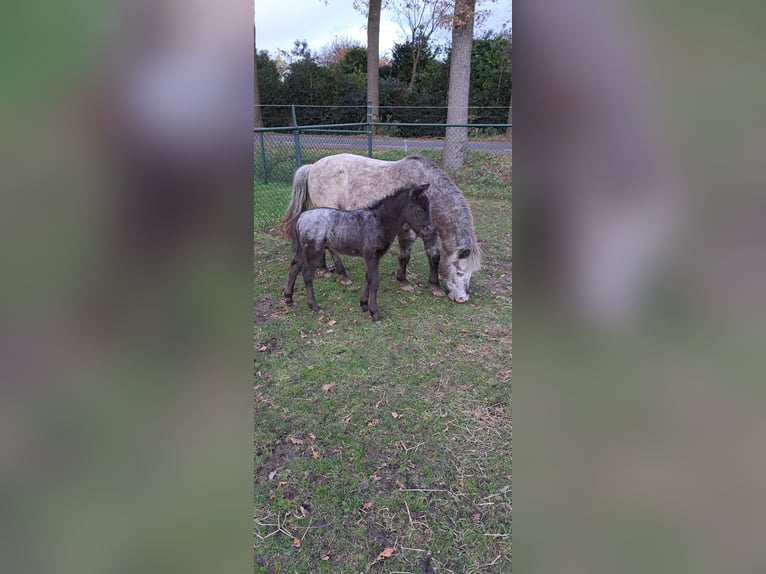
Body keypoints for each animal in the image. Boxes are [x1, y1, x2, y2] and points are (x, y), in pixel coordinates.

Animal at [280, 155, 484, 304]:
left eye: (471, 273)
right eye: (459, 271)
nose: (462, 298)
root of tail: (313, 166)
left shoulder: (430, 231)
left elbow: (434, 256)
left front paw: (434, 286)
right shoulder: (407, 230)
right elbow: (405, 256)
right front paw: (404, 281)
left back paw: (325, 269)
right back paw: (342, 274)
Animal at [286, 183, 432, 322]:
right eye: (419, 210)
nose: (429, 232)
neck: (379, 221)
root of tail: (300, 217)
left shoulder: (373, 257)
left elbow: (368, 278)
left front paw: (364, 304)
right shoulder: (371, 255)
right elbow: (374, 281)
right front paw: (375, 313)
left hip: (303, 251)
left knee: (294, 268)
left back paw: (288, 298)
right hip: (313, 251)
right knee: (307, 274)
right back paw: (314, 306)